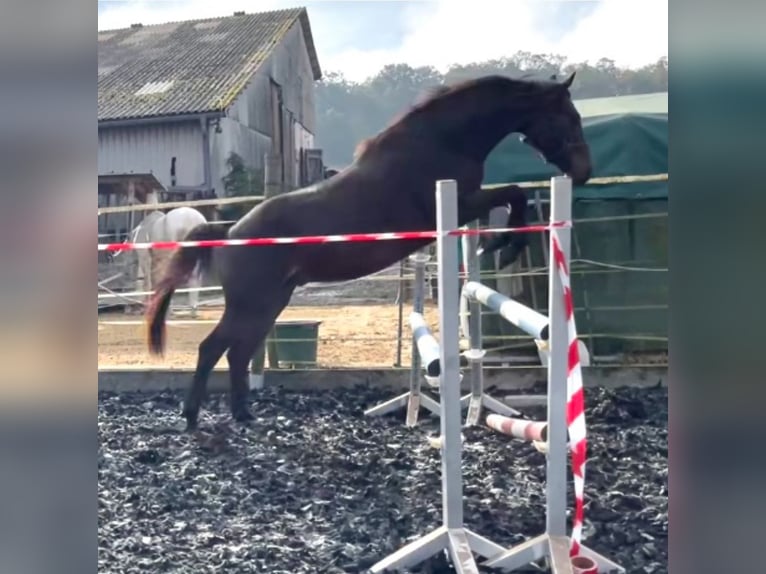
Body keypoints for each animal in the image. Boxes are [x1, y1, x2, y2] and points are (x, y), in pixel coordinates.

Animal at [147, 73, 592, 432]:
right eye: (570, 117)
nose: (584, 172)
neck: (441, 141)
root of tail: (230, 232)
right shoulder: (461, 203)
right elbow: (514, 195)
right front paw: (505, 246)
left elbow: (511, 198)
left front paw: (498, 243)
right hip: (252, 304)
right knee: (213, 349)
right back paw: (193, 418)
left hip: (270, 303)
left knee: (236, 354)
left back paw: (243, 415)